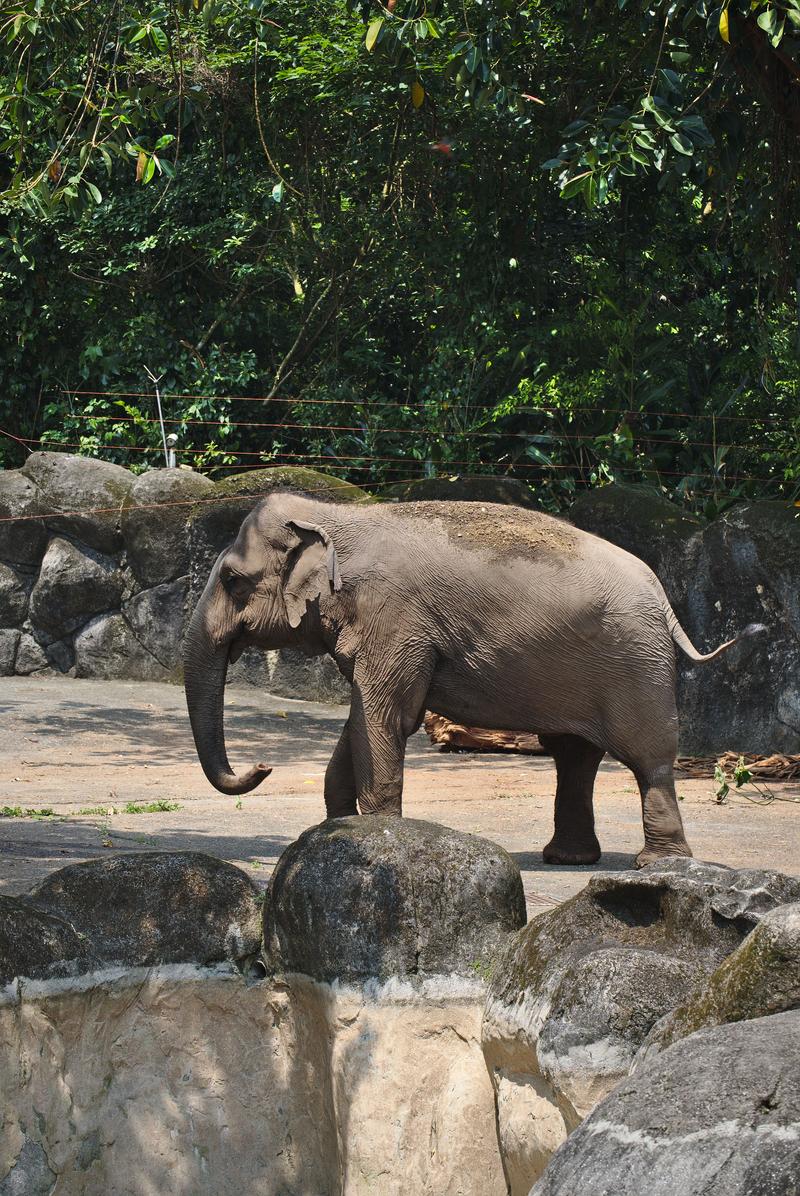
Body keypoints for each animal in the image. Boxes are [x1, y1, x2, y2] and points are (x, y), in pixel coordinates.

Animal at [180, 492, 760, 870]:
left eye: (232, 580)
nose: (263, 765)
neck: (336, 516)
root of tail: (663, 598)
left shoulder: (396, 620)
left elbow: (387, 717)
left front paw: (379, 840)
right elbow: (363, 719)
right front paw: (334, 835)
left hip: (635, 663)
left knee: (648, 756)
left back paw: (657, 866)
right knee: (574, 755)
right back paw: (569, 858)